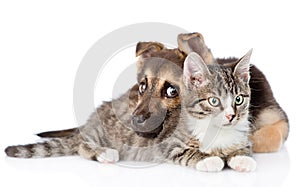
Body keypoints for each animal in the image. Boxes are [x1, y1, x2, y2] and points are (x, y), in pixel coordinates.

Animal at [5, 32, 290, 172]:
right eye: (142, 86)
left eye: (173, 91)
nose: (132, 122)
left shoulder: (279, 123)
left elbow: (261, 138)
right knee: (83, 144)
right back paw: (105, 151)